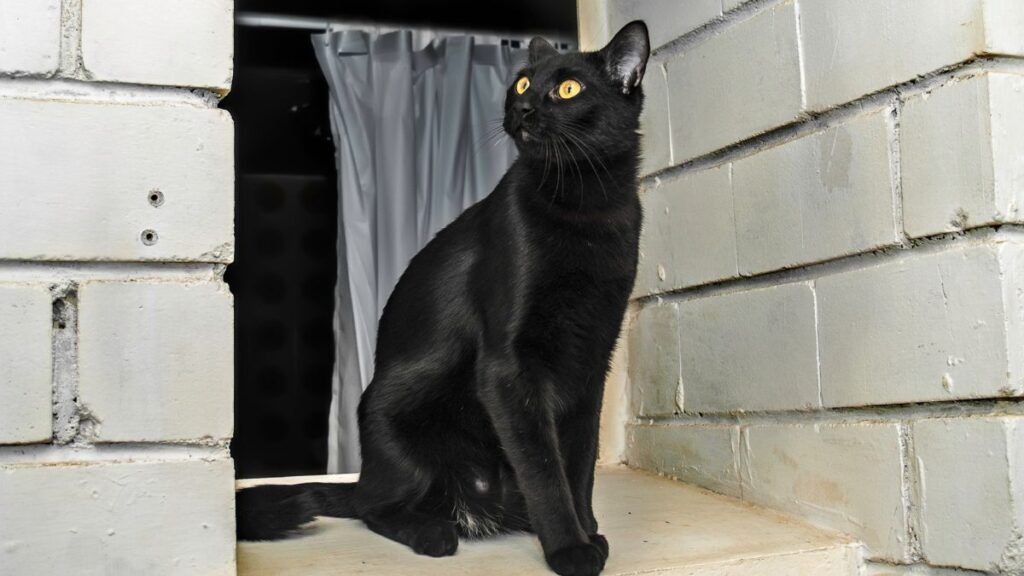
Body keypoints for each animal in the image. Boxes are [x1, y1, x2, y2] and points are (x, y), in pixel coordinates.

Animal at [236, 20, 651, 569]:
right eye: (522, 83)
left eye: (568, 89)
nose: (523, 108)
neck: (587, 206)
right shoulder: (508, 368)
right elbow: (544, 468)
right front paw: (569, 548)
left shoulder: (590, 360)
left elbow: (577, 462)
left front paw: (588, 531)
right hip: (395, 424)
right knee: (372, 506)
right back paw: (432, 531)